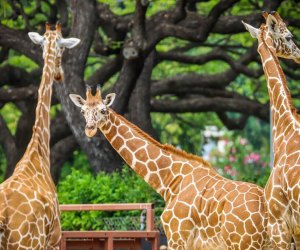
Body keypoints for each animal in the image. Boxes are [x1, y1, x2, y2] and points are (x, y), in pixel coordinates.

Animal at [69, 86, 272, 250]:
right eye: (83, 111)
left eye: (103, 110)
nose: (90, 129)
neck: (171, 180)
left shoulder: (177, 236)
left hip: (243, 243)